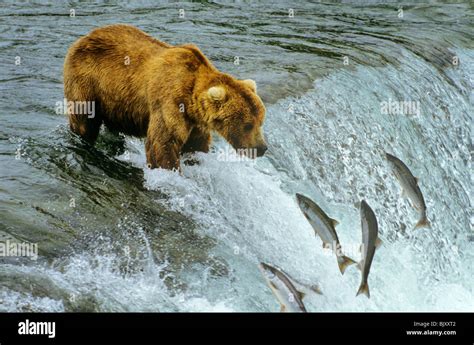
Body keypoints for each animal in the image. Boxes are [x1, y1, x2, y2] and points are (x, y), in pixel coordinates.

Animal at [64, 24, 266, 169]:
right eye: (247, 125)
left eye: (260, 122)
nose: (262, 148)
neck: (191, 98)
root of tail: (84, 37)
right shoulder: (170, 101)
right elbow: (162, 144)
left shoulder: (195, 122)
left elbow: (195, 145)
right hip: (87, 81)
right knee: (84, 120)